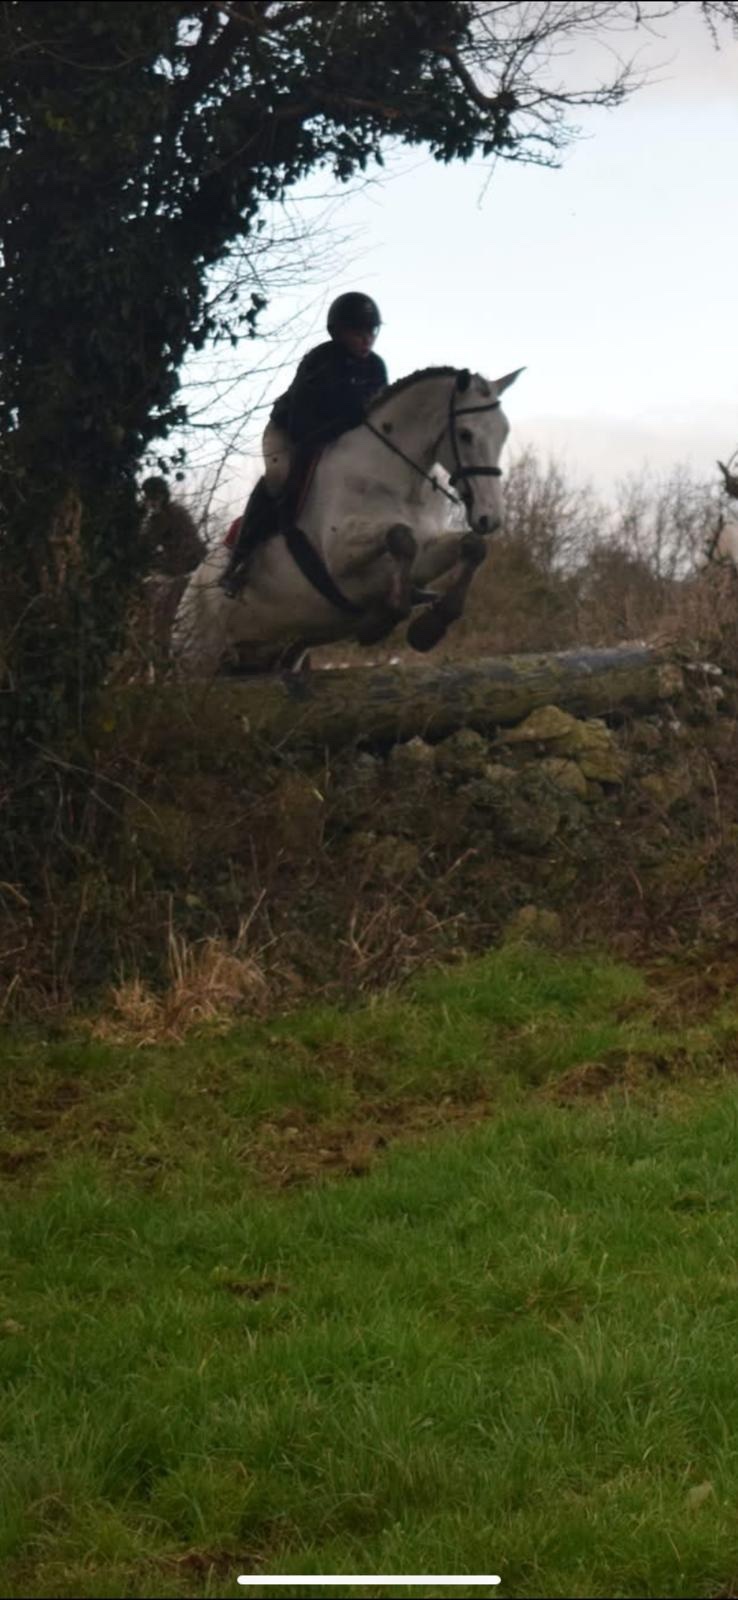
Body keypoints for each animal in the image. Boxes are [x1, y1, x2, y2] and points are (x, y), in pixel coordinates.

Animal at [172, 364, 523, 674]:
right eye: (465, 434)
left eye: (504, 433)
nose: (490, 517)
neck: (399, 480)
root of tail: (192, 585)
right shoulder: (338, 555)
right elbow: (400, 536)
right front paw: (383, 620)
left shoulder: (425, 552)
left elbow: (471, 546)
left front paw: (429, 626)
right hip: (195, 656)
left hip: (265, 657)